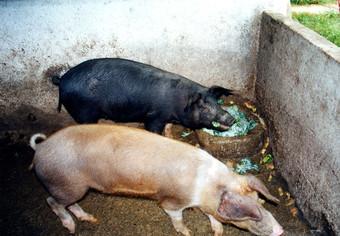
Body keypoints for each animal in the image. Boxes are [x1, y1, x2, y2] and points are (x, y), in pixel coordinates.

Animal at [29, 124, 284, 235]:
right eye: (249, 215)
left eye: (260, 202)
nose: (280, 230)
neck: (206, 187)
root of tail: (40, 148)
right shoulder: (171, 201)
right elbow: (177, 218)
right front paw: (187, 232)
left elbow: (211, 215)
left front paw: (217, 231)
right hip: (65, 184)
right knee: (52, 202)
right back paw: (71, 228)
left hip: (75, 187)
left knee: (69, 204)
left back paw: (89, 219)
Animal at [52, 58, 234, 134]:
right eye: (203, 106)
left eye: (217, 102)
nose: (231, 118)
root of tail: (62, 80)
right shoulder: (154, 117)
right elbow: (154, 129)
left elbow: (168, 129)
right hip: (84, 111)